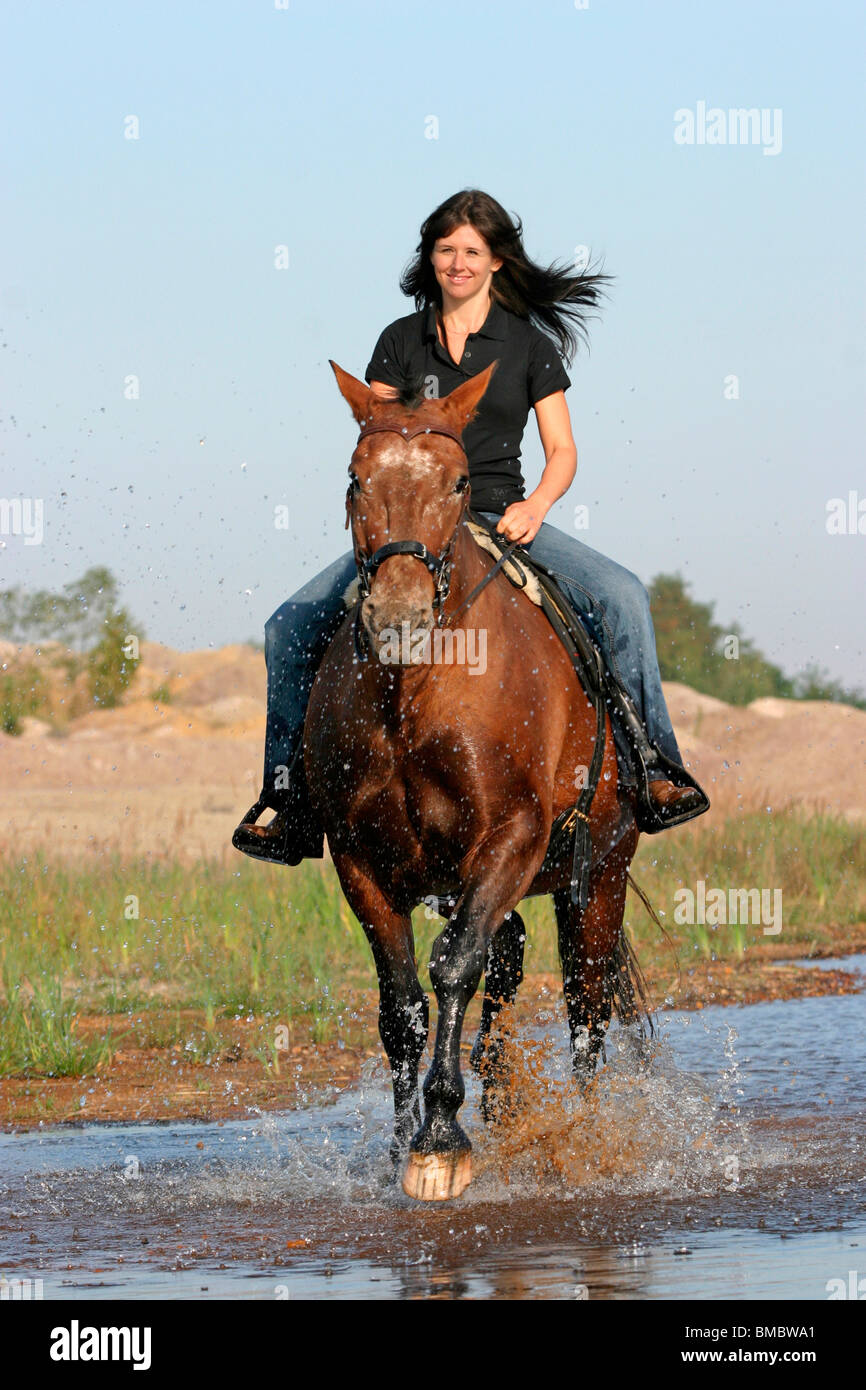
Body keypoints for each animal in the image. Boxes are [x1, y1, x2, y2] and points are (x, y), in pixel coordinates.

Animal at [304, 364, 650, 1200]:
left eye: (459, 482)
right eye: (354, 478)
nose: (396, 617)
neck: (414, 689)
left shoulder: (512, 835)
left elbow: (454, 965)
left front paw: (440, 1140)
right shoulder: (361, 860)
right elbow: (402, 1006)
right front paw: (405, 1144)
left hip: (599, 877)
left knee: (584, 1008)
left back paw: (578, 1134)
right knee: (510, 961)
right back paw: (502, 1103)